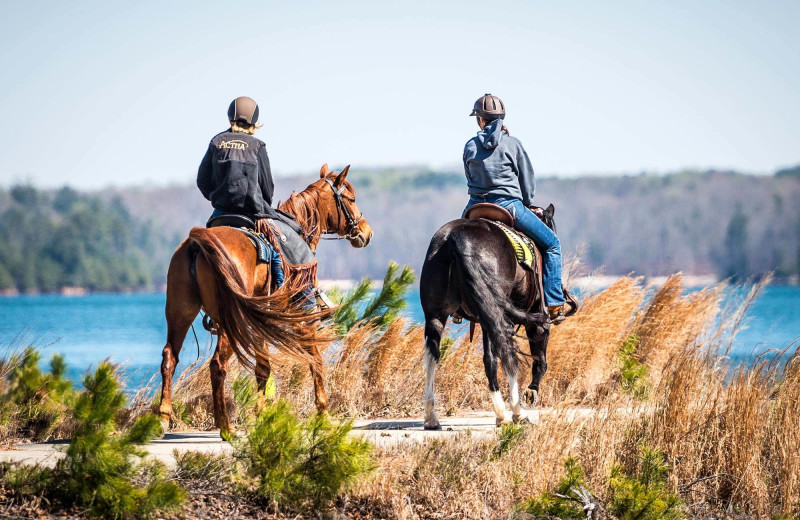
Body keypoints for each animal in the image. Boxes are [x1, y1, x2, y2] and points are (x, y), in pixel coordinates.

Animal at [158, 162, 374, 434]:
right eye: (351, 199)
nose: (366, 232)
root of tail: (197, 243)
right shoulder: (302, 313)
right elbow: (315, 358)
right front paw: (322, 411)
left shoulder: (260, 321)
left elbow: (263, 367)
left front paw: (260, 414)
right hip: (229, 321)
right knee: (217, 365)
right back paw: (224, 426)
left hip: (180, 312)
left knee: (169, 357)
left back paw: (163, 417)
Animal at [418, 205, 556, 428]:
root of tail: (455, 238)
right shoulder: (537, 313)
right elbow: (539, 356)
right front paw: (531, 392)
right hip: (493, 313)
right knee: (505, 355)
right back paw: (513, 412)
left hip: (436, 315)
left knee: (432, 356)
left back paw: (431, 417)